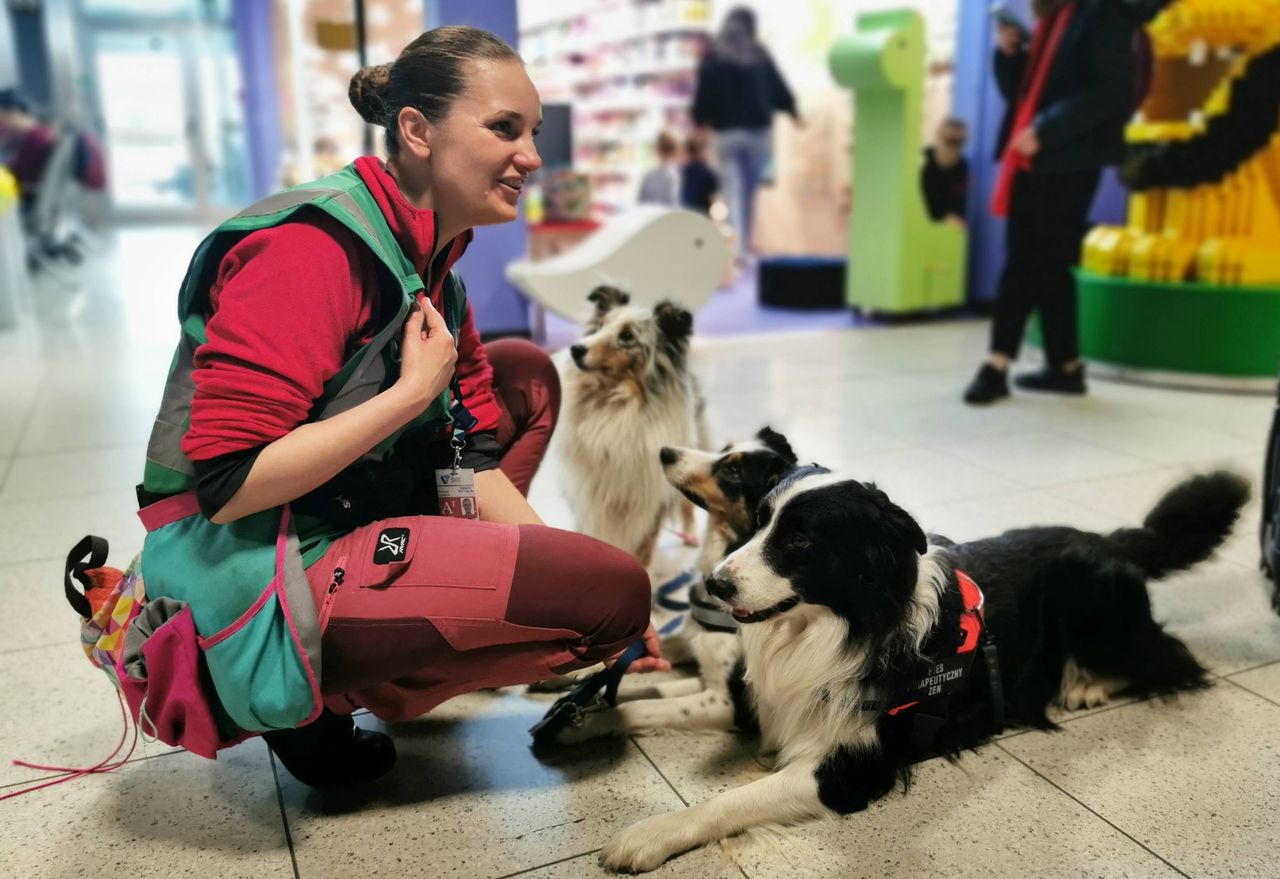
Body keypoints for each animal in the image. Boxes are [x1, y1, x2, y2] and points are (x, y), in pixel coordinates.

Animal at [555, 285, 706, 568]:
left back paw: (691, 534)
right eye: (600, 326)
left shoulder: (649, 502)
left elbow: (643, 550)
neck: (615, 402)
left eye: (627, 336)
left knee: (686, 503)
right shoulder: (590, 497)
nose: (575, 349)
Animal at [599, 468, 1249, 875]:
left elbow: (728, 802)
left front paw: (647, 835)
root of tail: (1112, 540)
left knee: (1172, 656)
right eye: (758, 522)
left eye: (802, 540)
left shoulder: (849, 768)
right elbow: (650, 700)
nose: (714, 584)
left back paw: (1086, 683)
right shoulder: (760, 702)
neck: (839, 626)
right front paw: (589, 712)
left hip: (1089, 589)